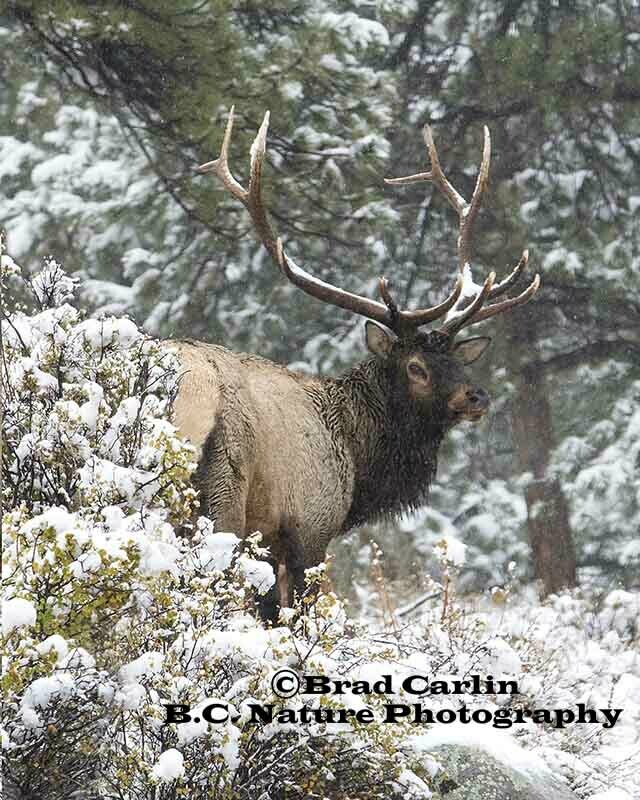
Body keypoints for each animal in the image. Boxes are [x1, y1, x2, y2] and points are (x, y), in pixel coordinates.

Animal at [169, 108, 539, 621]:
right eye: (416, 367)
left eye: (457, 360)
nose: (477, 396)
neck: (358, 461)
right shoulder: (307, 525)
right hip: (225, 491)